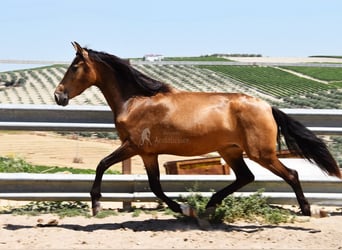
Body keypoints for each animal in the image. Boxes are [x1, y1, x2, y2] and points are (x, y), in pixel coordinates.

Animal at [54, 41, 340, 221]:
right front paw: (183, 209)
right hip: (230, 151)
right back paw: (210, 205)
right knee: (245, 177)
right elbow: (155, 186)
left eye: (74, 66)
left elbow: (102, 164)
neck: (135, 100)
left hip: (261, 153)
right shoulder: (148, 153)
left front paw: (96, 204)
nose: (59, 96)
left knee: (290, 174)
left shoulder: (133, 146)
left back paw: (305, 210)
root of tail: (267, 106)